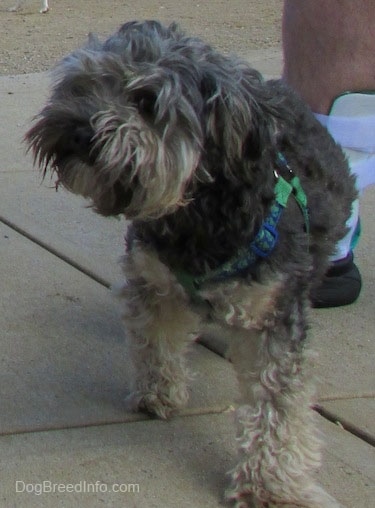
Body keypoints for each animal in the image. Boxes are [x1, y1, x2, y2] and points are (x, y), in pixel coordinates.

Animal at [25, 20, 356, 508]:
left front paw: (269, 482)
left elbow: (277, 408)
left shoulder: (272, 316)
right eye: (82, 85)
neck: (195, 211)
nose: (78, 129)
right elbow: (156, 341)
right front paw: (158, 392)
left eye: (146, 102)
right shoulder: (154, 280)